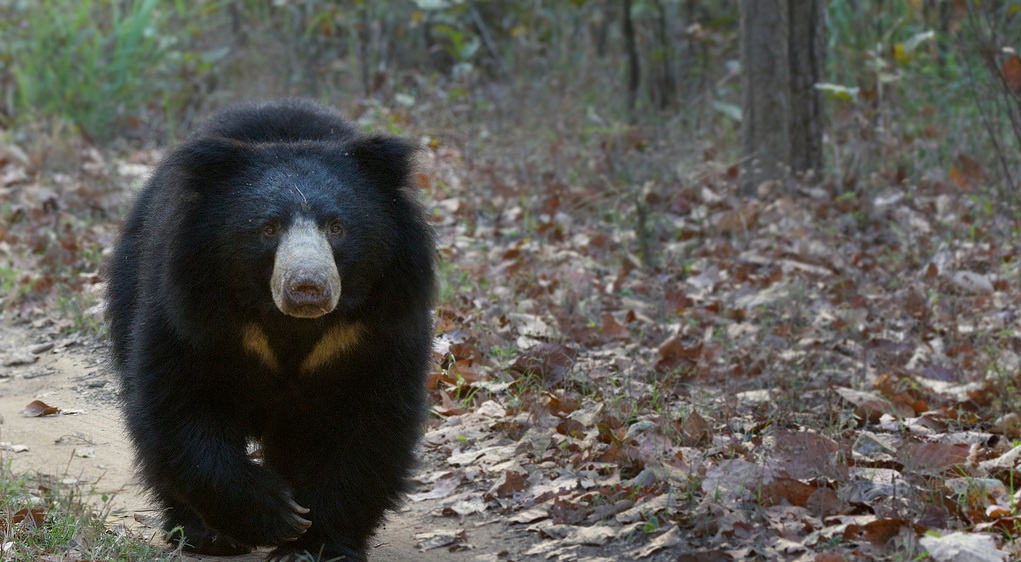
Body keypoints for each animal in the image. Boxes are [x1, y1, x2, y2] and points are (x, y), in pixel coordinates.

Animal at [107, 101, 434, 562]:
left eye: (336, 227)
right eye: (268, 228)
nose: (307, 286)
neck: (293, 325)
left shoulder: (380, 327)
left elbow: (372, 423)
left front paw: (313, 544)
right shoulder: (190, 311)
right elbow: (177, 404)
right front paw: (278, 515)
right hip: (130, 280)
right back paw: (199, 533)